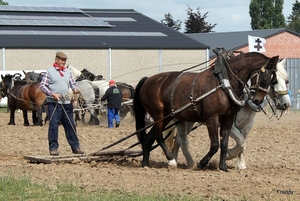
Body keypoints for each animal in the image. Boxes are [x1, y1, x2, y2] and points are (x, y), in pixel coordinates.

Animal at [134, 51, 278, 172]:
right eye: (265, 77)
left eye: (274, 80)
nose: (258, 100)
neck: (224, 82)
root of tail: (148, 79)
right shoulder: (212, 119)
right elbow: (215, 144)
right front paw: (202, 163)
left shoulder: (228, 119)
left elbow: (224, 144)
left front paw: (223, 167)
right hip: (159, 115)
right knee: (158, 136)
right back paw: (172, 161)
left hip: (167, 116)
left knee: (149, 138)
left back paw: (145, 163)